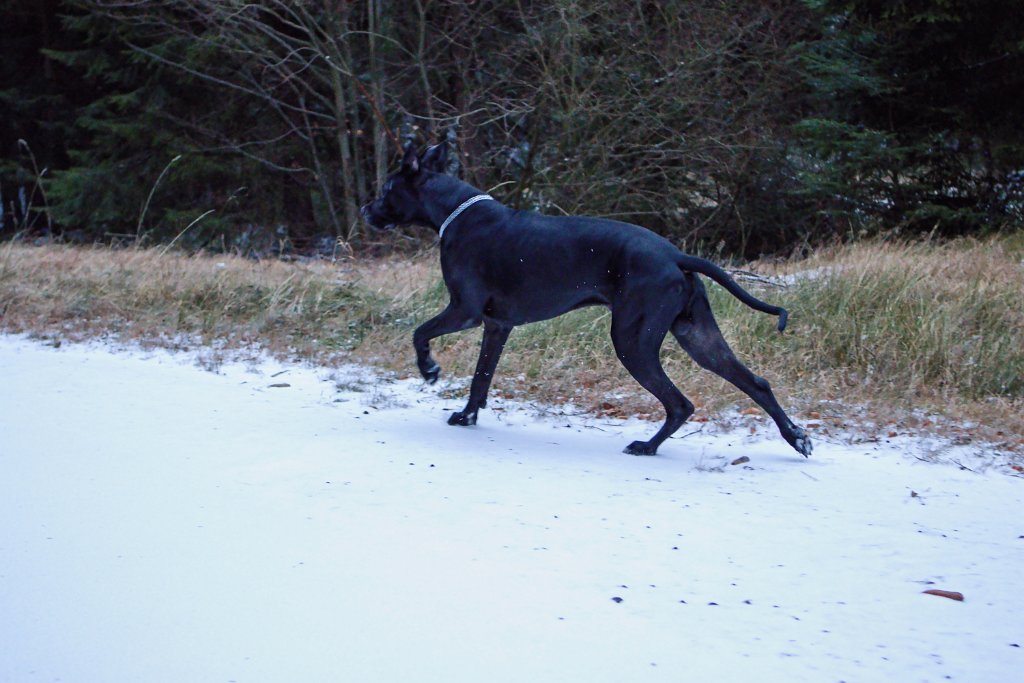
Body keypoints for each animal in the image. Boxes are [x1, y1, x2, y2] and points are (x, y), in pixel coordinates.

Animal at [364, 141, 811, 456]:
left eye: (386, 188)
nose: (366, 209)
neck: (455, 211)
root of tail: (674, 254)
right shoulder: (497, 325)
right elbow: (481, 377)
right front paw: (467, 415)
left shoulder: (465, 311)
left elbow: (419, 333)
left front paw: (429, 370)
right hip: (698, 336)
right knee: (756, 383)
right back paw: (796, 438)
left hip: (632, 341)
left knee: (680, 402)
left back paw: (647, 447)